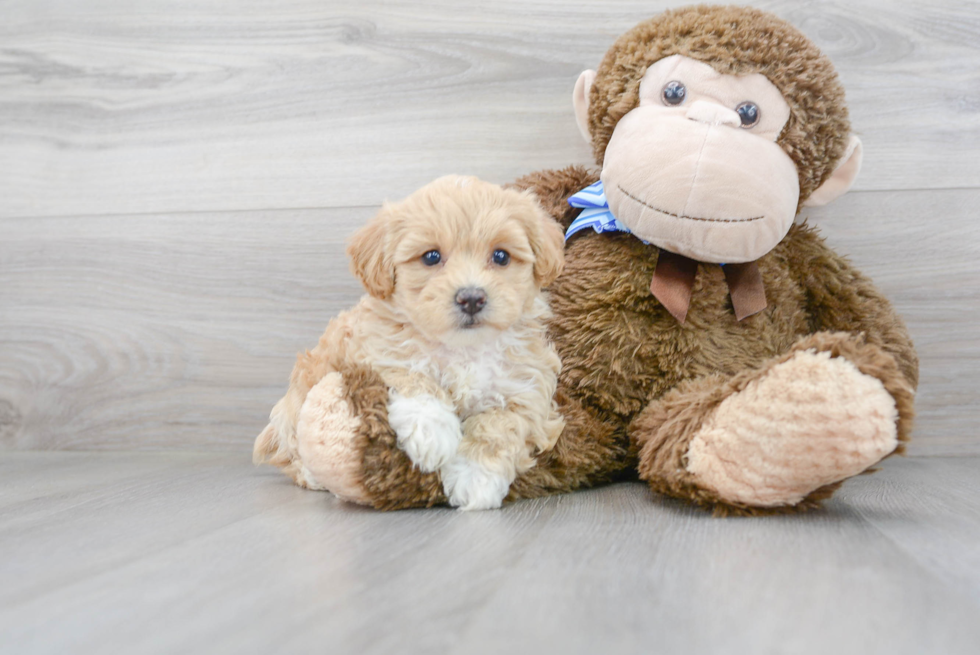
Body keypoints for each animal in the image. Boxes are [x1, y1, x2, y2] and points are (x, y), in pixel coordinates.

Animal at [253, 176, 568, 512]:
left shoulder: (527, 389)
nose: (471, 298)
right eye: (431, 257)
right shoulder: (377, 351)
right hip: (296, 401)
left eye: (501, 256)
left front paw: (475, 477)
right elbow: (415, 377)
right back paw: (312, 475)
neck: (463, 348)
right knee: (291, 451)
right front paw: (432, 435)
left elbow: (501, 425)